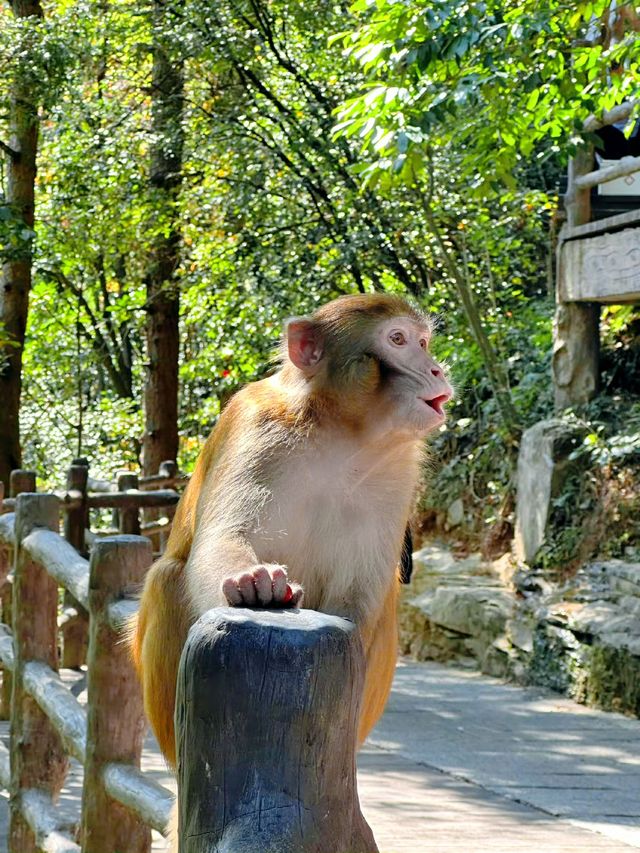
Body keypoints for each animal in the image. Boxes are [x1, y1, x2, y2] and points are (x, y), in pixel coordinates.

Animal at [131, 290, 450, 768]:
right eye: (397, 339)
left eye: (424, 342)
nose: (437, 369)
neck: (342, 432)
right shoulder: (256, 427)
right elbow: (222, 540)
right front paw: (254, 582)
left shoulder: (399, 470)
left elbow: (360, 594)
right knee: (167, 577)